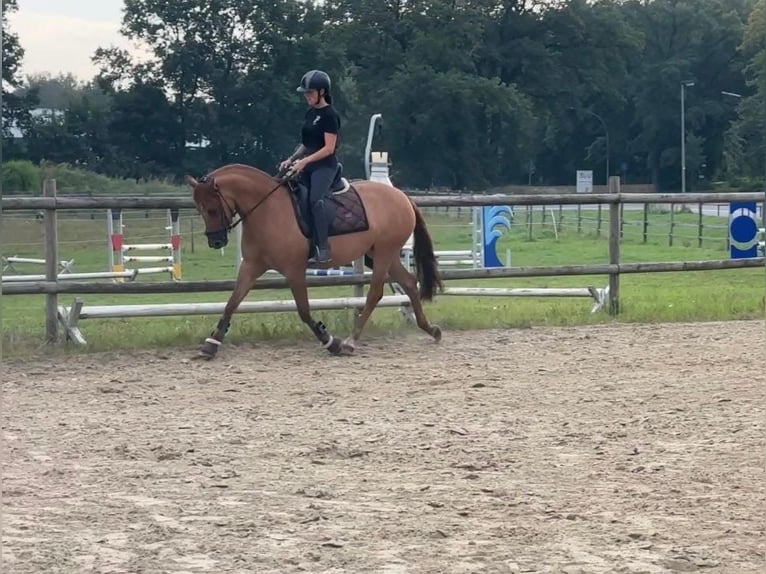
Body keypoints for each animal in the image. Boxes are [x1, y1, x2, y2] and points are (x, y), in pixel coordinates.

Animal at [184, 163, 444, 360]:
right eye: (199, 209)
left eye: (212, 209)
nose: (216, 242)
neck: (267, 210)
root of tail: (402, 196)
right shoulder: (251, 266)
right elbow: (231, 303)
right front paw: (211, 344)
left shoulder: (294, 270)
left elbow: (304, 311)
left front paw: (331, 342)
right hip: (382, 255)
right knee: (409, 283)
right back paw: (431, 330)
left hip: (383, 253)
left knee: (375, 294)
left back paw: (350, 341)